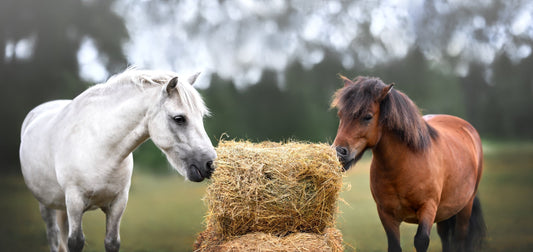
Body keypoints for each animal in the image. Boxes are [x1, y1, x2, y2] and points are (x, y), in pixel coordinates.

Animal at [19, 69, 216, 252]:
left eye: (201, 117)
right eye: (179, 119)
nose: (210, 163)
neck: (100, 148)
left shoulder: (118, 203)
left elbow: (112, 242)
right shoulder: (74, 202)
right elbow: (75, 242)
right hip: (46, 204)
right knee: (53, 237)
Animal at [332, 76, 486, 251]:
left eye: (368, 116)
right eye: (340, 114)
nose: (339, 152)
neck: (402, 166)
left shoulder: (428, 208)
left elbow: (421, 241)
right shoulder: (386, 214)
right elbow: (394, 245)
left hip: (465, 208)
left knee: (459, 239)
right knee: (445, 237)